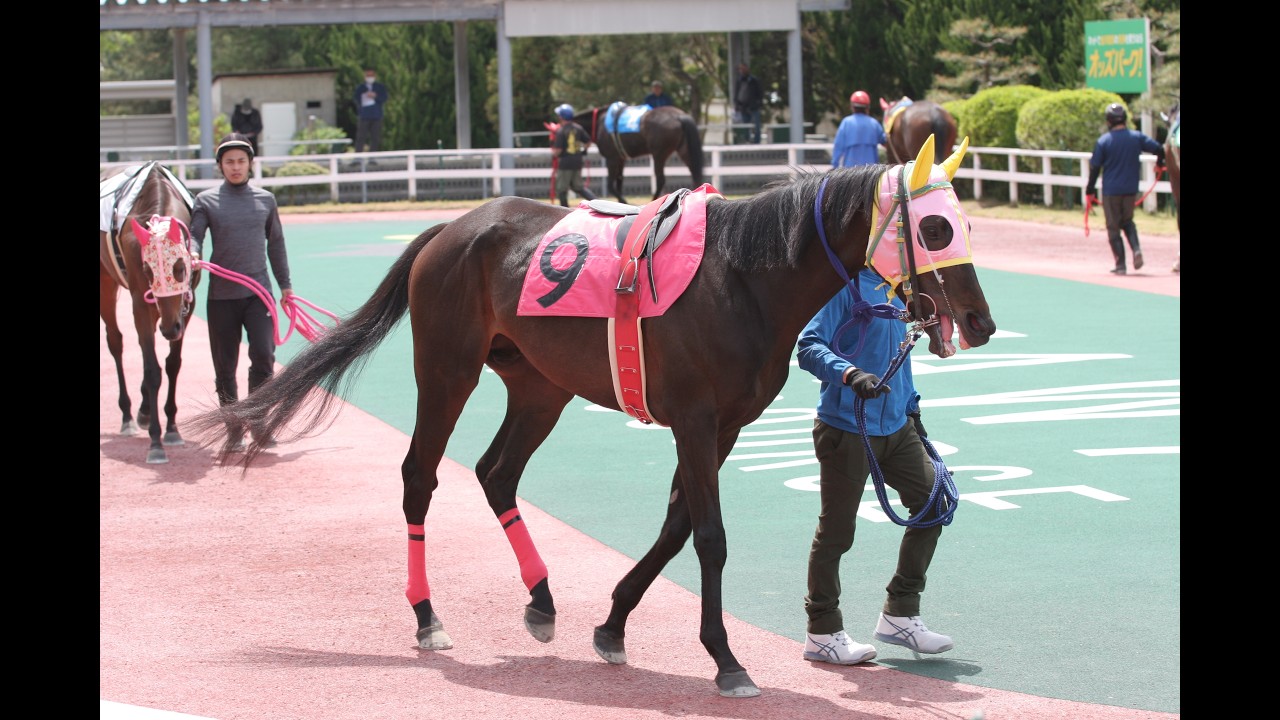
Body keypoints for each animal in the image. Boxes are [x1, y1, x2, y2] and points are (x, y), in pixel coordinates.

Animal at [100, 162, 200, 464]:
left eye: (180, 267)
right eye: (147, 270)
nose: (169, 328)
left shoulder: (186, 306)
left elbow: (172, 364)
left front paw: (172, 428)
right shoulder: (141, 304)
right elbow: (153, 370)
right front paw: (156, 442)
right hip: (105, 281)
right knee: (116, 341)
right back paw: (128, 415)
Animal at [189, 135, 996, 698]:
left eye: (962, 223)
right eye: (934, 229)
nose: (981, 323)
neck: (741, 276)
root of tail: (450, 228)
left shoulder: (723, 426)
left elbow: (676, 526)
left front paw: (611, 625)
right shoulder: (696, 420)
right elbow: (708, 536)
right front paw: (725, 659)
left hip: (541, 384)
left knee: (496, 472)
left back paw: (543, 599)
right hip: (446, 369)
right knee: (422, 475)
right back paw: (428, 618)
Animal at [576, 103, 705, 205]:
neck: (599, 123)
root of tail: (679, 116)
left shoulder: (611, 159)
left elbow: (610, 185)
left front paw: (624, 201)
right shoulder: (620, 159)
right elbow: (619, 182)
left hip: (659, 154)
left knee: (660, 180)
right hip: (683, 150)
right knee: (694, 171)